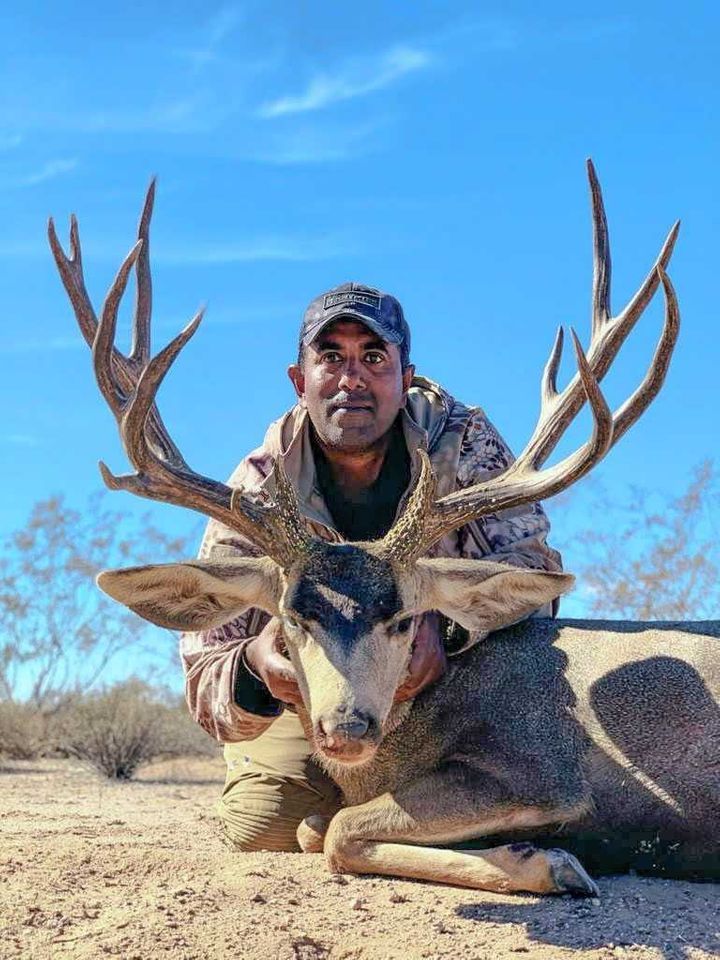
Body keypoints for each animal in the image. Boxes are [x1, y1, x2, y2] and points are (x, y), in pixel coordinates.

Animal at [49, 162, 719, 898]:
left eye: (401, 620)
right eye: (293, 617)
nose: (347, 726)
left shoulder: (541, 770)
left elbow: (338, 831)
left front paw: (550, 862)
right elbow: (316, 828)